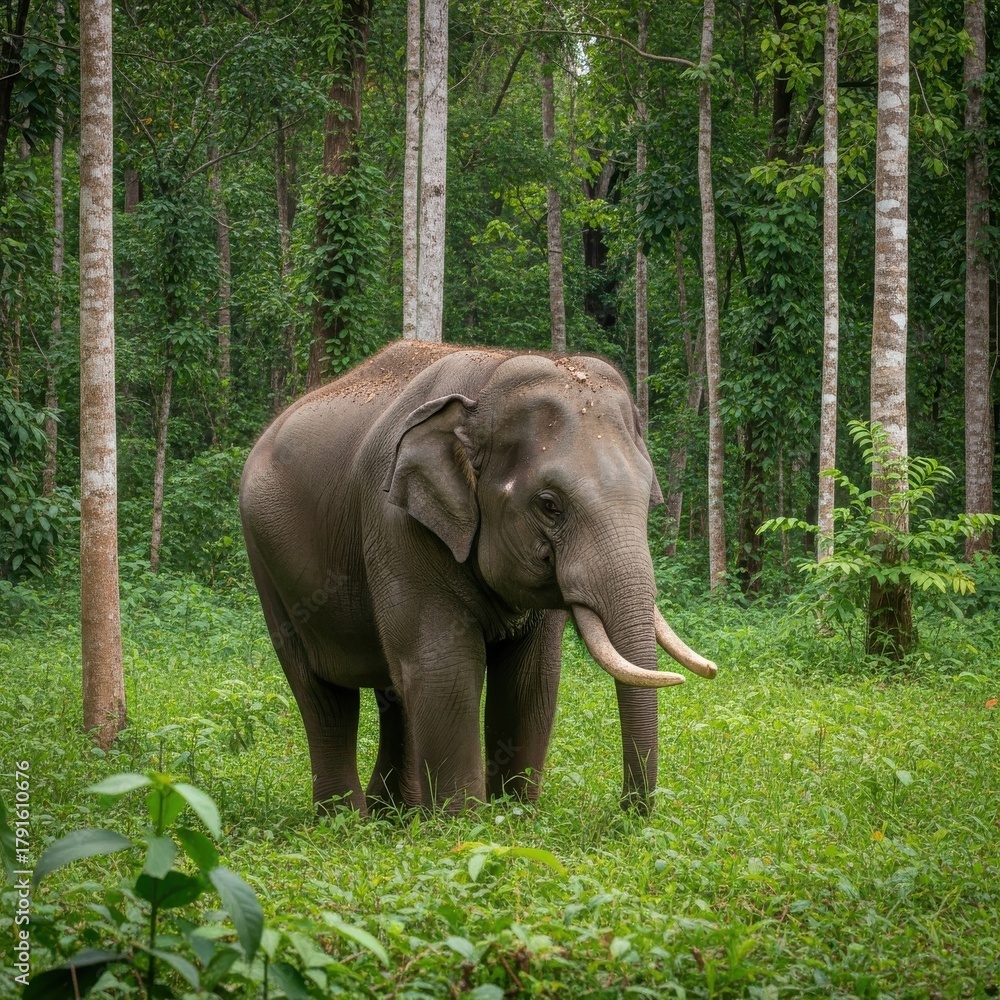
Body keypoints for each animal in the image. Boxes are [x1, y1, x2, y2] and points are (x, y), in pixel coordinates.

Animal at [239, 340, 717, 816]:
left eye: (649, 497)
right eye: (549, 505)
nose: (627, 812)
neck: (490, 378)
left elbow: (531, 677)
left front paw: (514, 815)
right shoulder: (395, 525)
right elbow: (443, 668)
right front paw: (464, 823)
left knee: (394, 689)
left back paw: (393, 815)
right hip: (266, 562)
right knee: (323, 698)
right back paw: (345, 818)